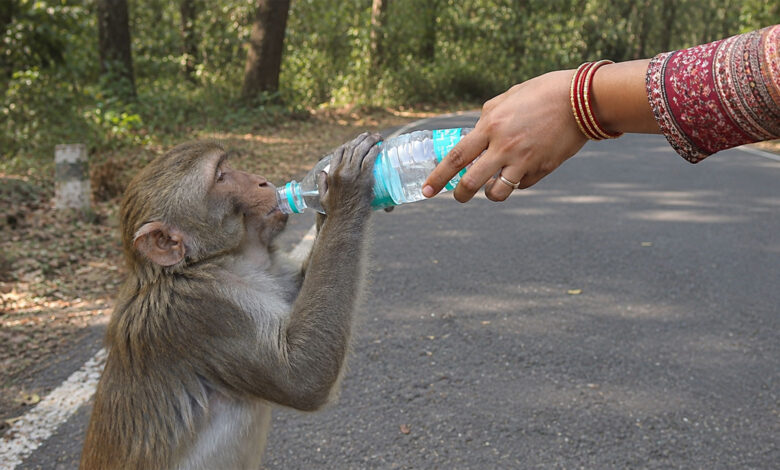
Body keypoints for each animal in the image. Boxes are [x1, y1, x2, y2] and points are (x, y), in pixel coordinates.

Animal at [79, 133, 382, 469]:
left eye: (228, 168)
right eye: (221, 177)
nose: (261, 181)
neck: (205, 263)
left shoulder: (267, 270)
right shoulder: (202, 312)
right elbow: (304, 376)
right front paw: (344, 190)